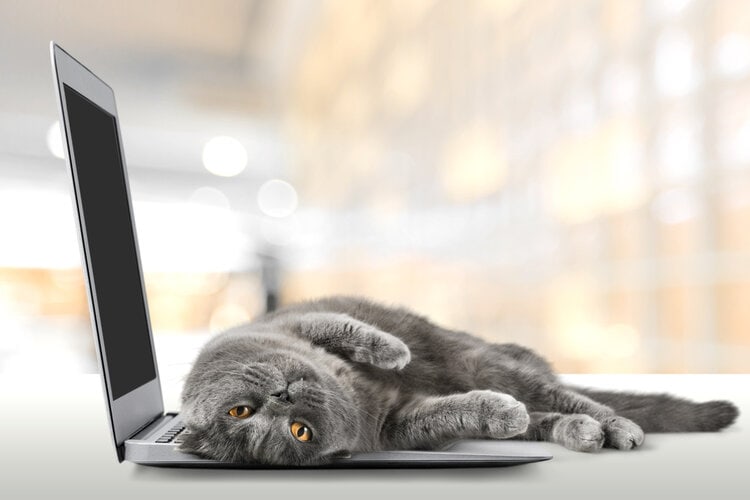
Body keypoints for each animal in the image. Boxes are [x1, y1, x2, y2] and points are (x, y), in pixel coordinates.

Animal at [181, 296, 740, 464]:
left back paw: (616, 426)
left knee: (573, 396)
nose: (282, 397)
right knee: (542, 415)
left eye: (239, 409)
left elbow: (345, 328)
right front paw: (497, 413)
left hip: (483, 362)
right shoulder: (394, 427)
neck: (348, 389)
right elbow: (448, 412)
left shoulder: (294, 323)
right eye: (300, 432)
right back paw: (582, 432)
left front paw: (395, 352)